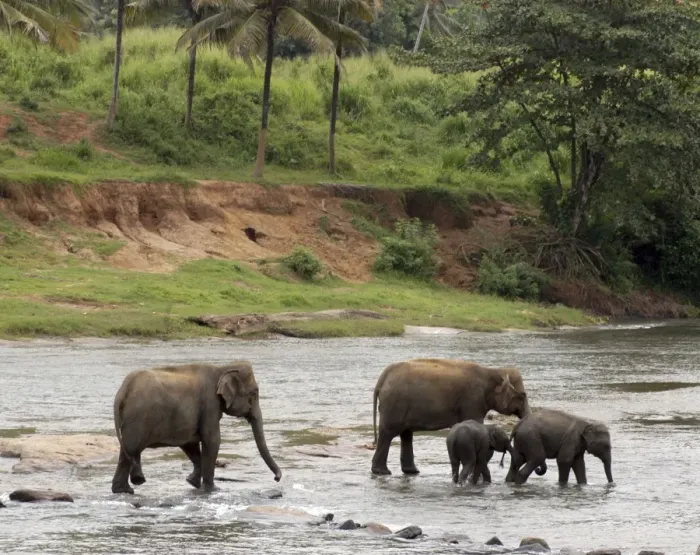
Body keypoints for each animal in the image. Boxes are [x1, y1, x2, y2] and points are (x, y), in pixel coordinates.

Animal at [111, 361, 282, 494]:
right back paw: (130, 487)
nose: (277, 478)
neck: (222, 368)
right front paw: (212, 488)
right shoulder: (210, 403)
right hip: (138, 418)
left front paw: (192, 482)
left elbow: (189, 443)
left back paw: (124, 489)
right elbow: (212, 440)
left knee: (127, 451)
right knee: (131, 449)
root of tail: (122, 391)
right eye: (253, 393)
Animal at [371, 358, 531, 476]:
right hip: (395, 403)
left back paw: (412, 472)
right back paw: (382, 472)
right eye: (523, 396)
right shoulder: (472, 400)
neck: (492, 371)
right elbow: (475, 423)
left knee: (406, 434)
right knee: (389, 433)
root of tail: (383, 376)